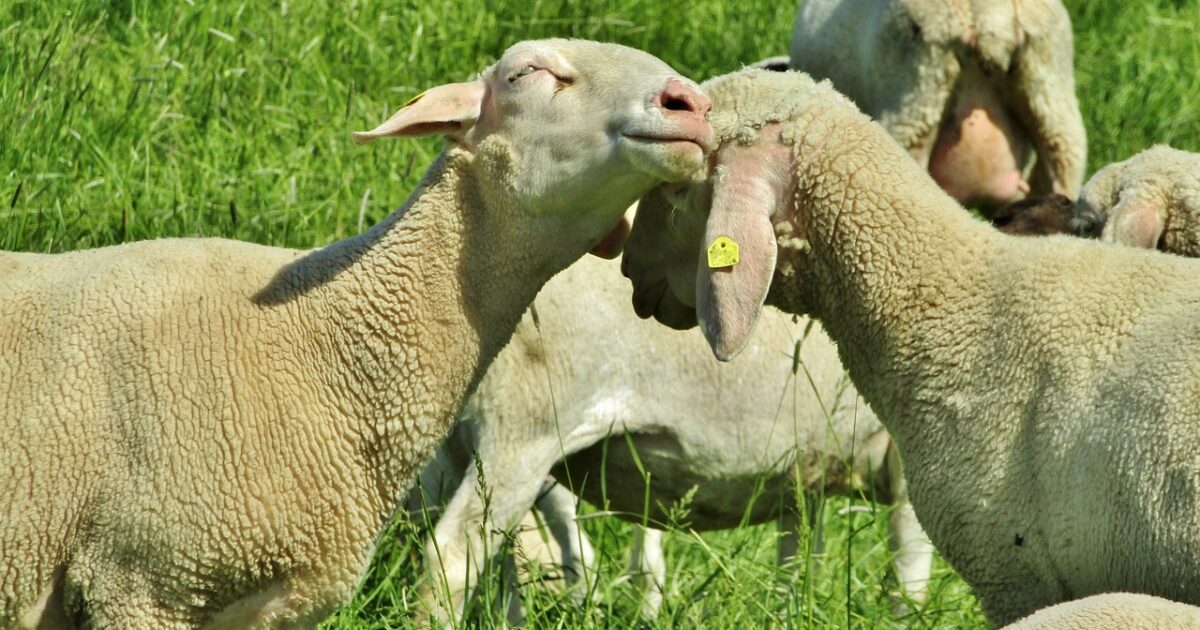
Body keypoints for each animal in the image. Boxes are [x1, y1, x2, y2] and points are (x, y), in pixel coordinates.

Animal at [410, 253, 932, 623]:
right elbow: (907, 583)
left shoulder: (803, 475)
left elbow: (798, 563)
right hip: (522, 428)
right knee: (452, 559)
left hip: (470, 445)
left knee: (501, 567)